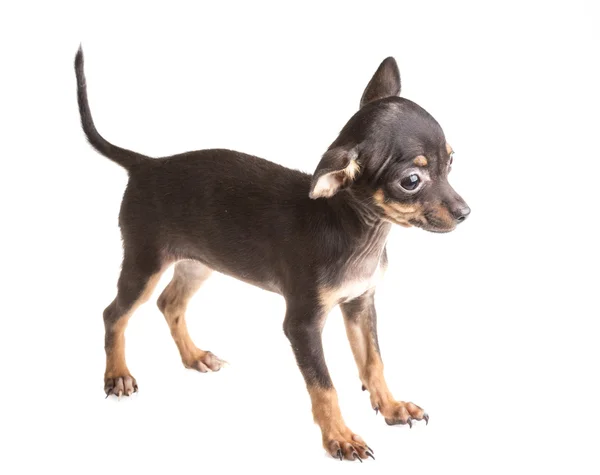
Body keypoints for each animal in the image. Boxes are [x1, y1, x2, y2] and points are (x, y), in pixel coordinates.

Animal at [74, 47, 468, 462]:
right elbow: (324, 385)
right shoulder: (302, 324)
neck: (356, 228)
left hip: (198, 262)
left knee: (170, 303)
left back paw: (194, 356)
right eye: (411, 181)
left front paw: (391, 407)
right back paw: (117, 374)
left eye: (451, 162)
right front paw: (339, 437)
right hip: (145, 262)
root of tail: (146, 164)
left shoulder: (360, 303)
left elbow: (373, 361)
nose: (465, 212)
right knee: (115, 313)